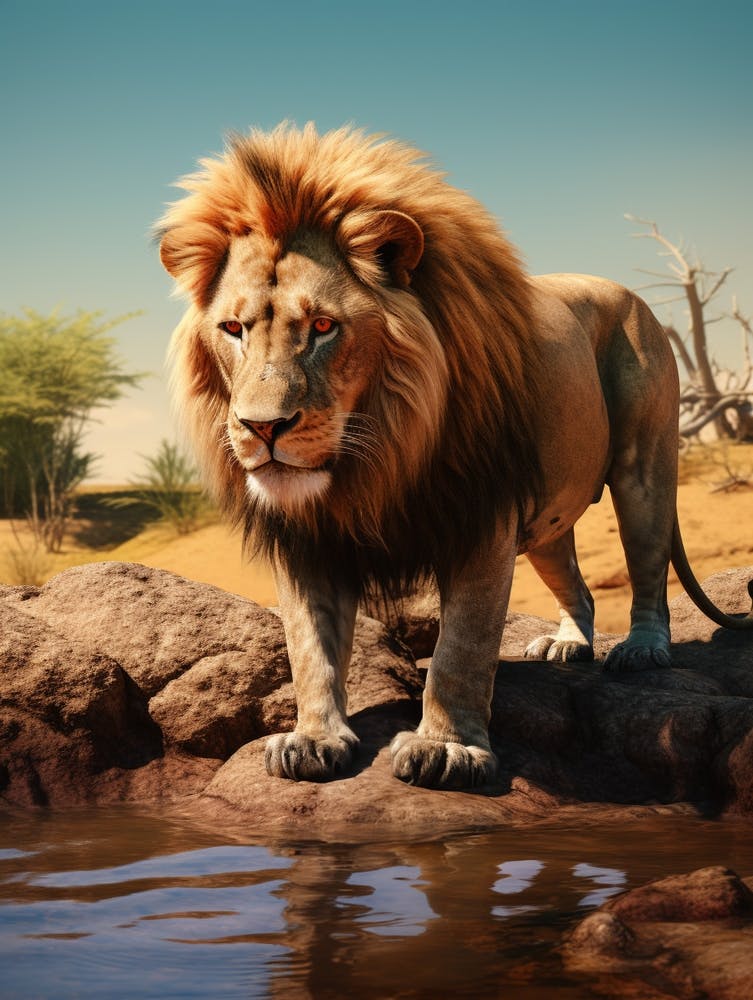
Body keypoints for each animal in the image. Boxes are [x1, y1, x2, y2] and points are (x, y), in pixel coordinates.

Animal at [158, 124, 753, 790]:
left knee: (647, 567)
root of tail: (624, 291)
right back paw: (568, 642)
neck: (379, 459)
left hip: (642, 469)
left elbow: (461, 648)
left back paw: (643, 649)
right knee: (578, 584)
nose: (263, 427)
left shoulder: (480, 515)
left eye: (322, 326)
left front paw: (446, 750)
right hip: (548, 518)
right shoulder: (307, 539)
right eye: (233, 329)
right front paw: (312, 739)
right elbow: (309, 646)